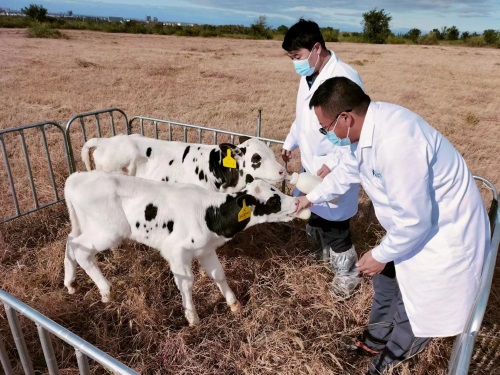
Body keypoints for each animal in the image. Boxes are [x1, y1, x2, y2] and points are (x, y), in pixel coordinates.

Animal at [64, 170, 302, 326]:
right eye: (273, 201)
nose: (297, 203)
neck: (210, 213)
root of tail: (76, 177)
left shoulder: (206, 249)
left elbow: (219, 274)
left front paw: (234, 304)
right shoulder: (176, 253)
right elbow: (186, 284)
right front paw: (192, 317)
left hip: (87, 225)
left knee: (70, 241)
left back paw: (71, 283)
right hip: (109, 231)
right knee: (81, 250)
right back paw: (106, 291)